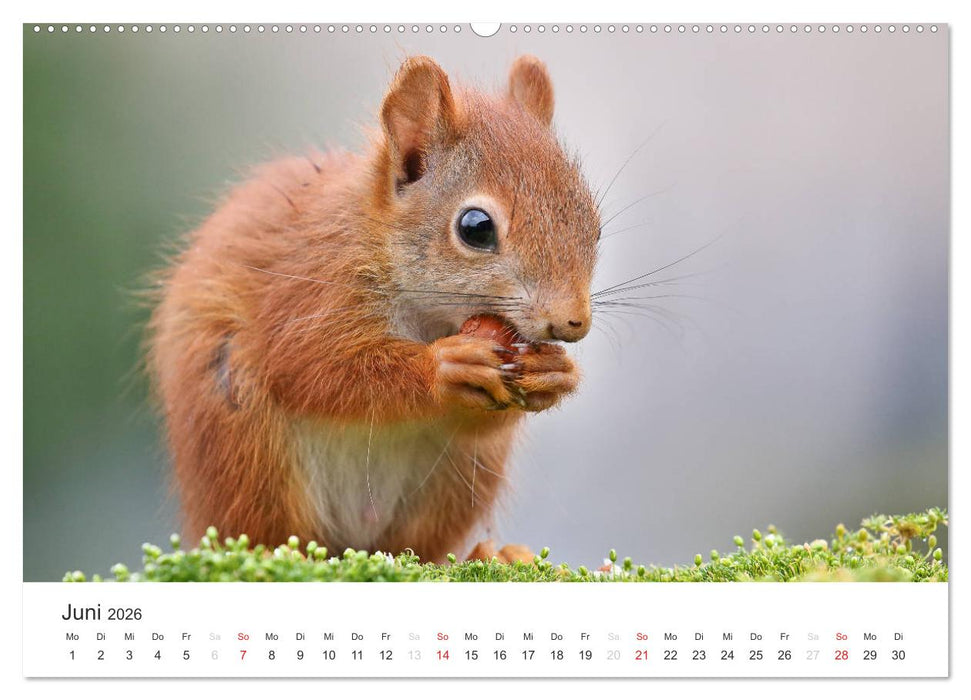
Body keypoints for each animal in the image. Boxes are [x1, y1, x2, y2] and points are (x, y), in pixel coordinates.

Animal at [148, 55, 600, 564]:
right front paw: (442, 367)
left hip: (458, 479)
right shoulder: (305, 290)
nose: (573, 322)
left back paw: (488, 554)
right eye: (476, 227)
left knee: (415, 548)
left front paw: (556, 374)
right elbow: (311, 367)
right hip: (241, 439)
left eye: (592, 221)